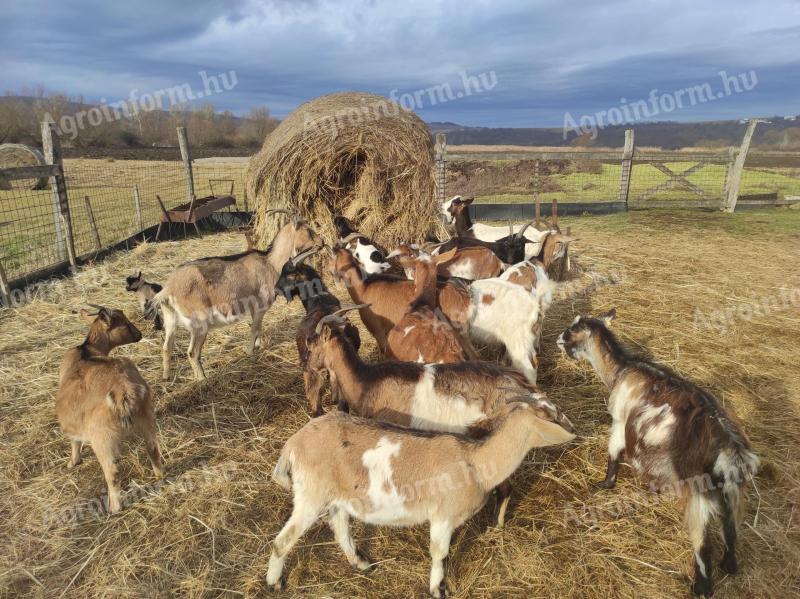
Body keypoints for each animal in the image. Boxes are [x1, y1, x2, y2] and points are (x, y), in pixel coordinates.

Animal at [56, 310, 164, 516]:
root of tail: (123, 390)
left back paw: (114, 507)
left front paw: (73, 462)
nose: (139, 334)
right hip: (147, 418)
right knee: (153, 449)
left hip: (101, 437)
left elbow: (74, 440)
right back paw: (160, 475)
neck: (87, 351)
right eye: (123, 322)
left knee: (112, 473)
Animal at [153, 211, 322, 380]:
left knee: (166, 348)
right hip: (199, 323)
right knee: (192, 352)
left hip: (170, 319)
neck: (271, 263)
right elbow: (254, 330)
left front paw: (259, 345)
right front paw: (250, 352)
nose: (322, 242)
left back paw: (166, 377)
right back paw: (202, 380)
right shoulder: (260, 307)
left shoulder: (255, 311)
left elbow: (258, 328)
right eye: (308, 229)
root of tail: (168, 289)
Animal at [268, 396, 576, 596]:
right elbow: (439, 553)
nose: (573, 429)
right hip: (310, 494)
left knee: (340, 527)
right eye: (550, 415)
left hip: (337, 497)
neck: (476, 462)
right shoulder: (442, 516)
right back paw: (274, 583)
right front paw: (438, 589)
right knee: (283, 540)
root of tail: (293, 444)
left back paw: (361, 563)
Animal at [560, 312, 760, 596]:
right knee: (731, 526)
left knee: (703, 542)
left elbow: (614, 450)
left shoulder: (620, 420)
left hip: (698, 489)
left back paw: (702, 588)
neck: (622, 369)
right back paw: (729, 565)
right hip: (731, 489)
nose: (558, 339)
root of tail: (729, 447)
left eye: (571, 329)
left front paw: (605, 483)